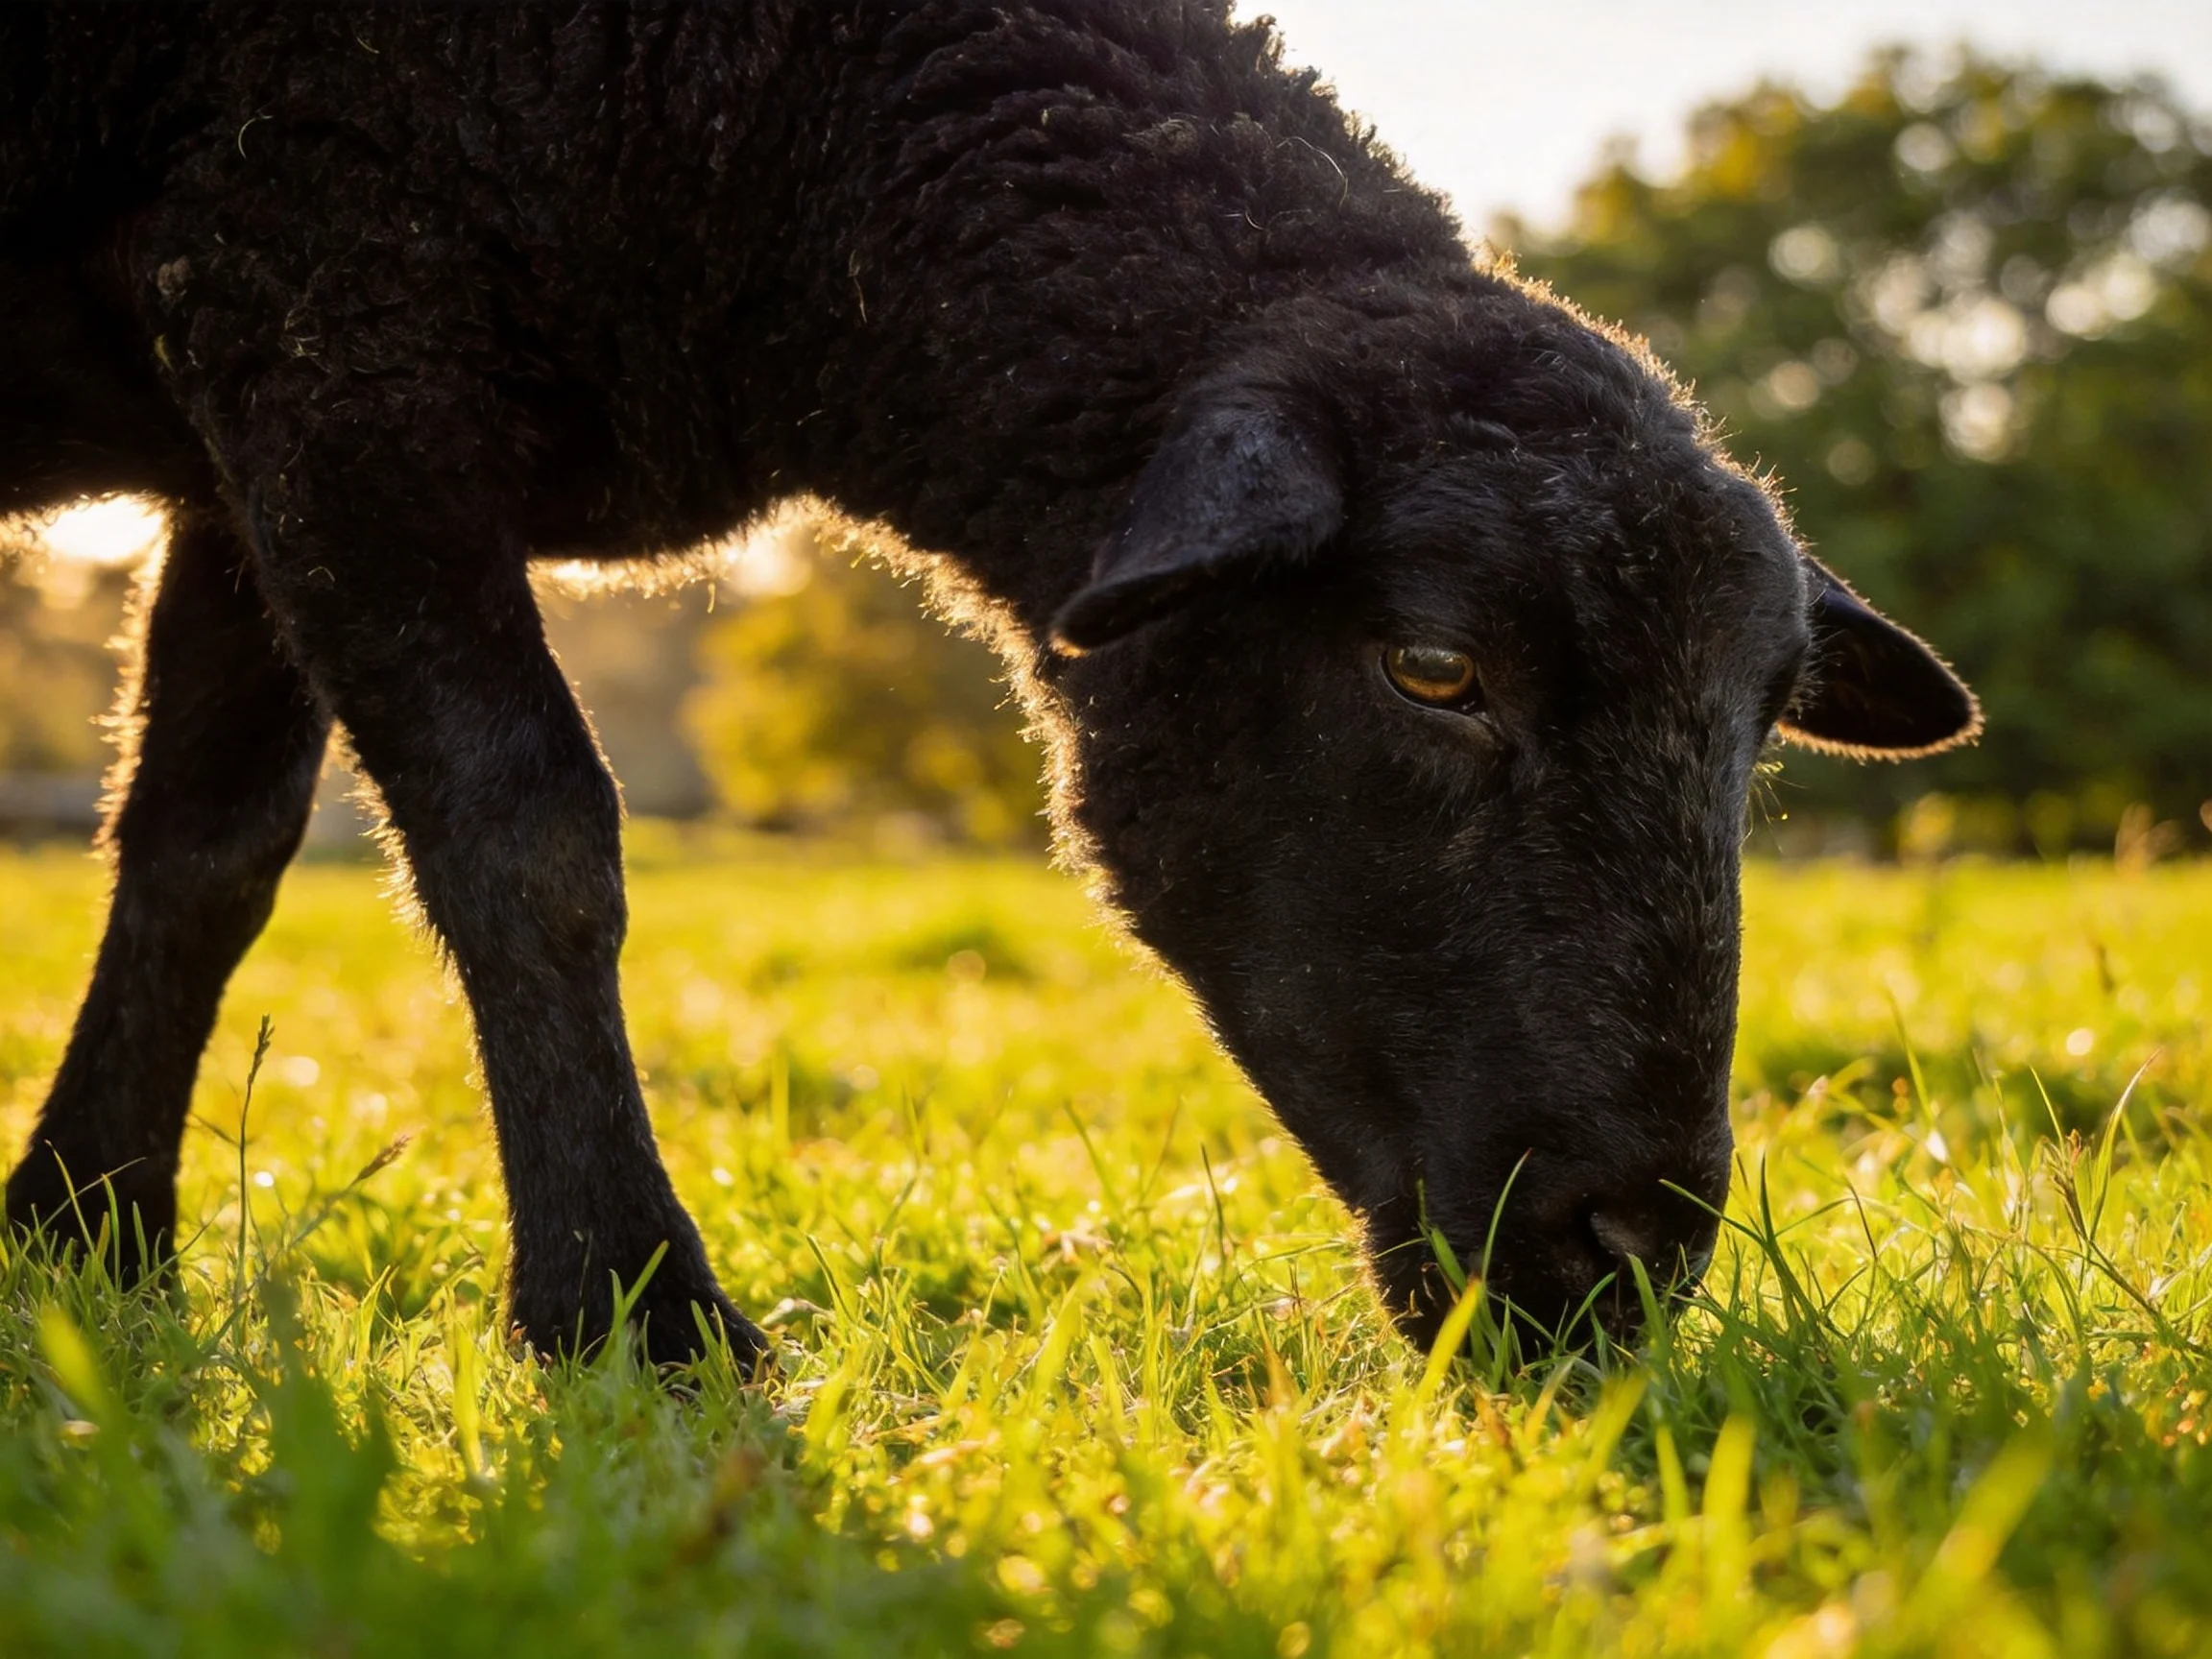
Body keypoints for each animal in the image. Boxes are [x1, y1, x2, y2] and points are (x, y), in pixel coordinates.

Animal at [1, 3, 1976, 1366]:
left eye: (1755, 726)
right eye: (1431, 667)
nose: (1629, 1255)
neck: (787, 140)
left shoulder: (245, 413)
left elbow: (202, 850)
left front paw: (85, 1238)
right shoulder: (327, 305)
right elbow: (527, 835)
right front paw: (630, 1309)